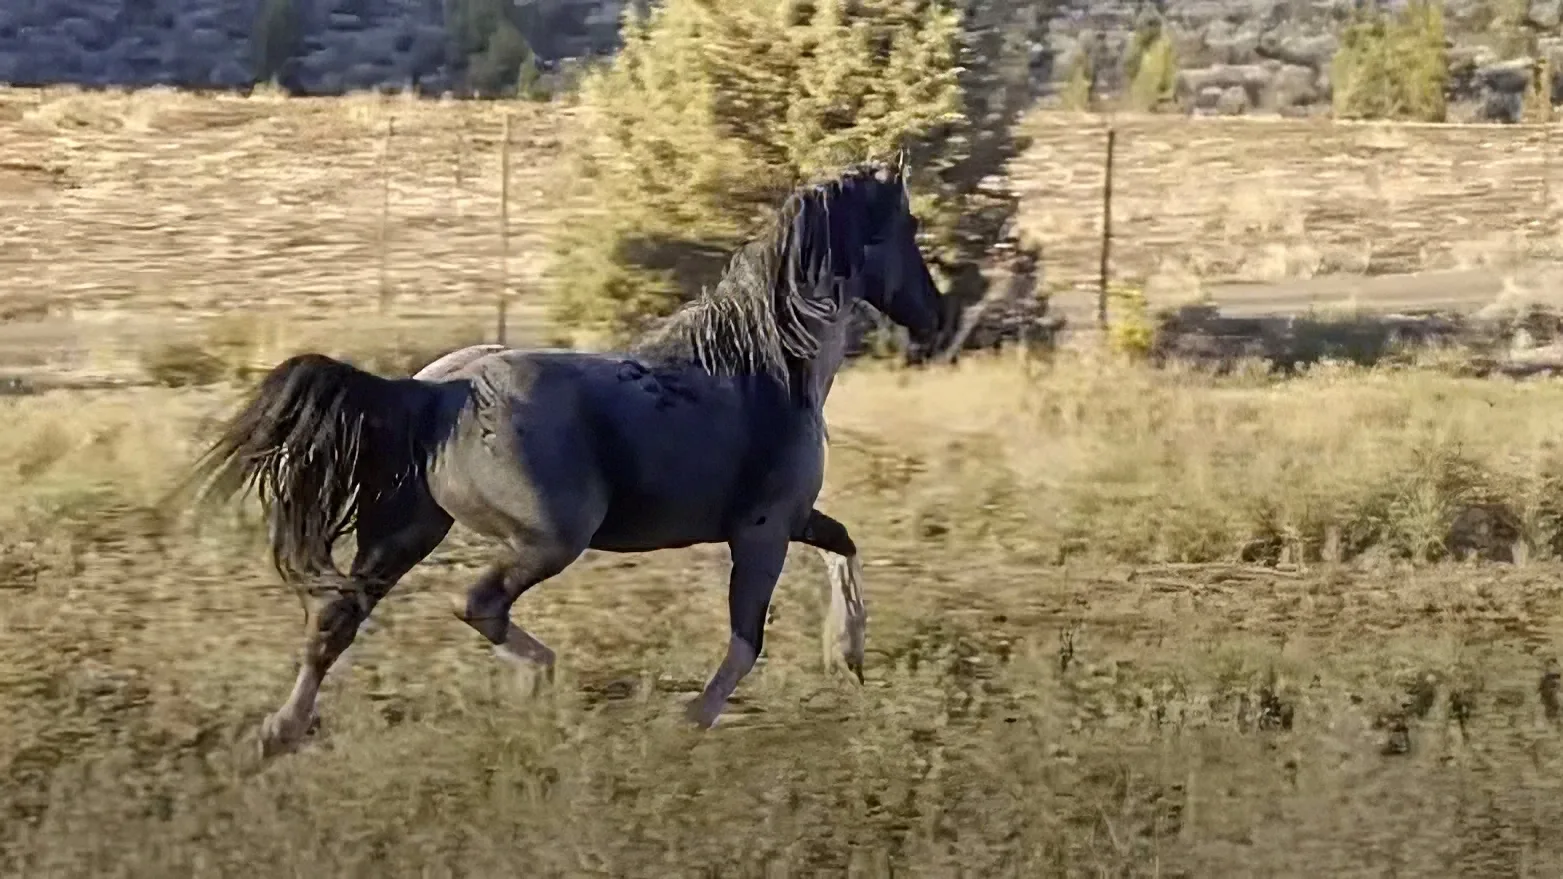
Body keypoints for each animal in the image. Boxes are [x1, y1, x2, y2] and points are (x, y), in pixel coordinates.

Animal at [183, 157, 947, 758]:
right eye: (905, 229)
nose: (936, 319)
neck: (765, 368)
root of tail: (436, 394)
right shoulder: (761, 531)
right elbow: (746, 638)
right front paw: (686, 721)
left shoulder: (791, 517)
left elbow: (842, 543)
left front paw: (846, 654)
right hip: (550, 539)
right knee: (475, 603)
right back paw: (545, 683)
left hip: (407, 530)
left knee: (336, 620)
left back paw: (276, 734)